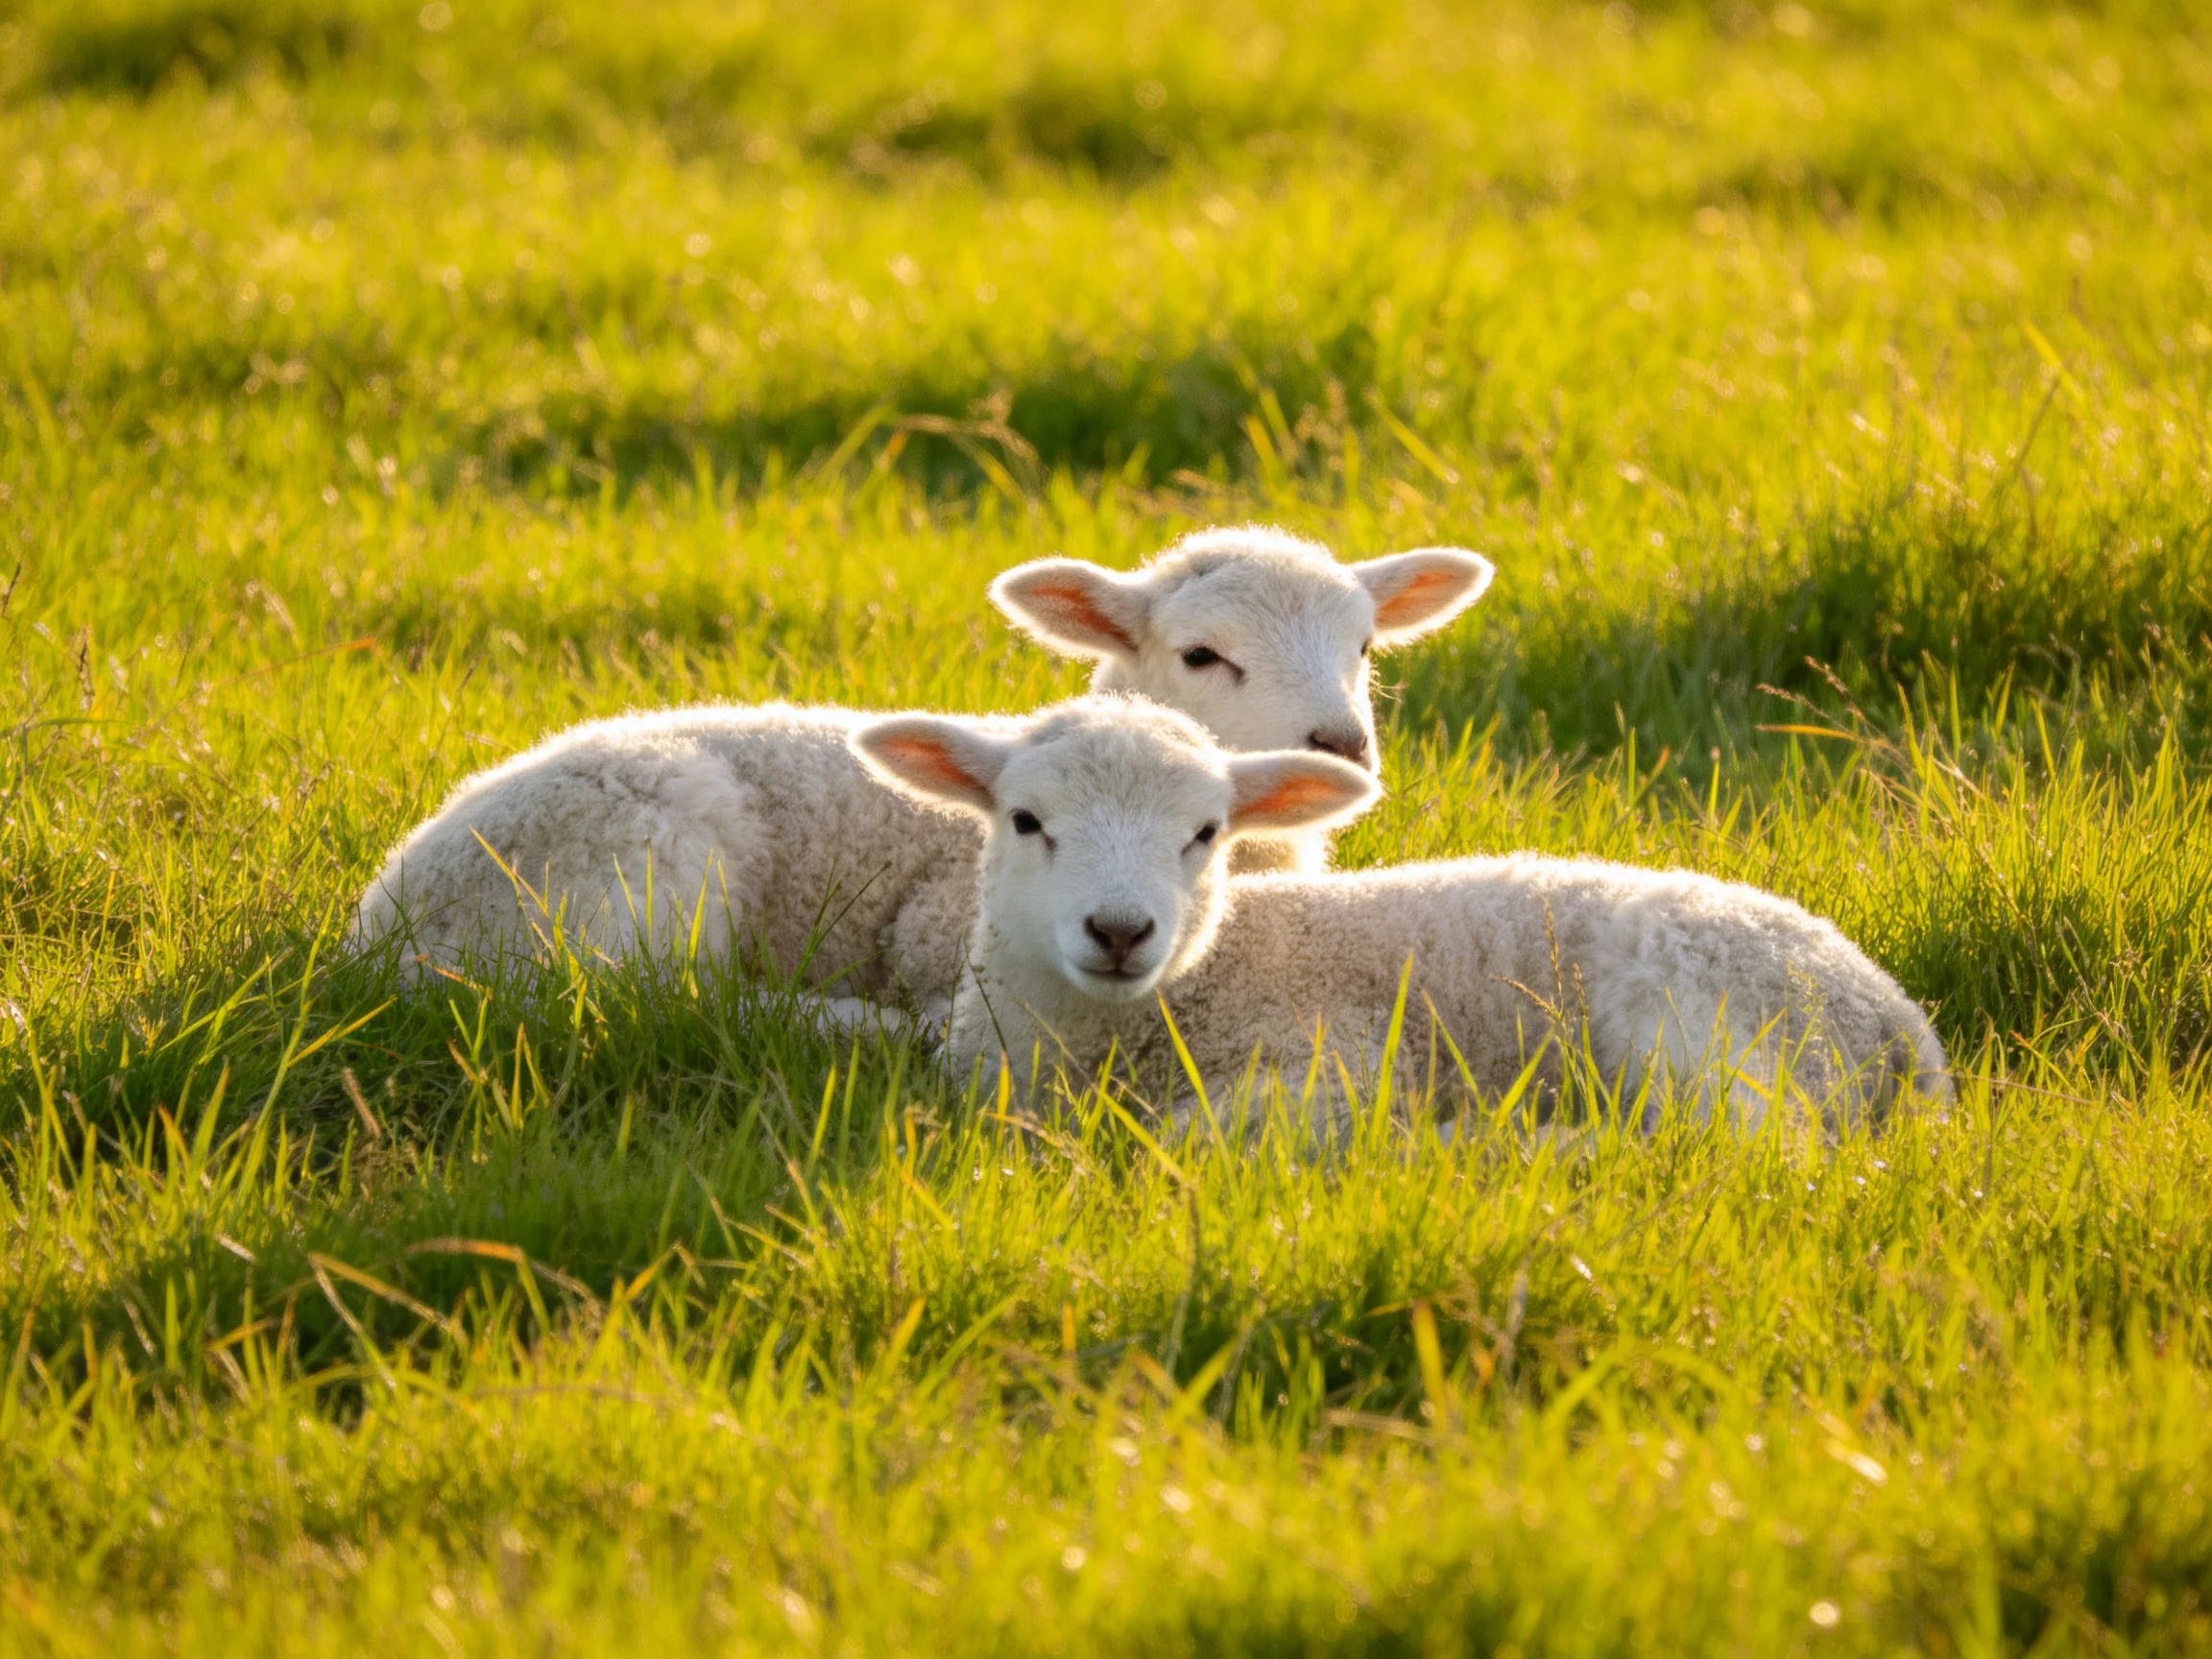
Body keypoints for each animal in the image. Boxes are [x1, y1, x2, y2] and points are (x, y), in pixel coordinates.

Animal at [352, 527, 1492, 1019]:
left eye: (1363, 645)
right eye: (1204, 654)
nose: (1340, 743)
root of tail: (384, 924)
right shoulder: (943, 928)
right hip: (635, 868)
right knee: (642, 1002)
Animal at [851, 698, 1956, 1133]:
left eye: (1206, 833)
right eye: (1025, 820)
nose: (1120, 932)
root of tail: (1896, 1020)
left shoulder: (1333, 1055)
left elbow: (1194, 1135)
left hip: (1719, 1029)